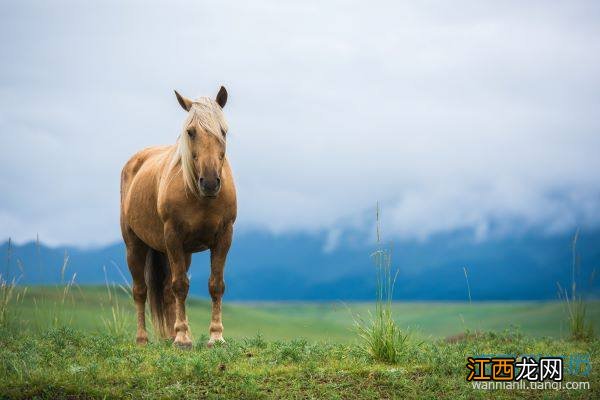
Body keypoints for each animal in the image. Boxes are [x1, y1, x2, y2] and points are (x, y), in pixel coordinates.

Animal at [120, 86, 236, 346]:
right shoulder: (173, 237)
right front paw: (183, 339)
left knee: (165, 291)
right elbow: (181, 286)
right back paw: (143, 339)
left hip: (182, 252)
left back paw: (170, 336)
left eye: (223, 131)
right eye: (190, 132)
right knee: (140, 290)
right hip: (135, 245)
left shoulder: (224, 237)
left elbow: (216, 285)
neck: (199, 197)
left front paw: (216, 337)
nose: (210, 182)